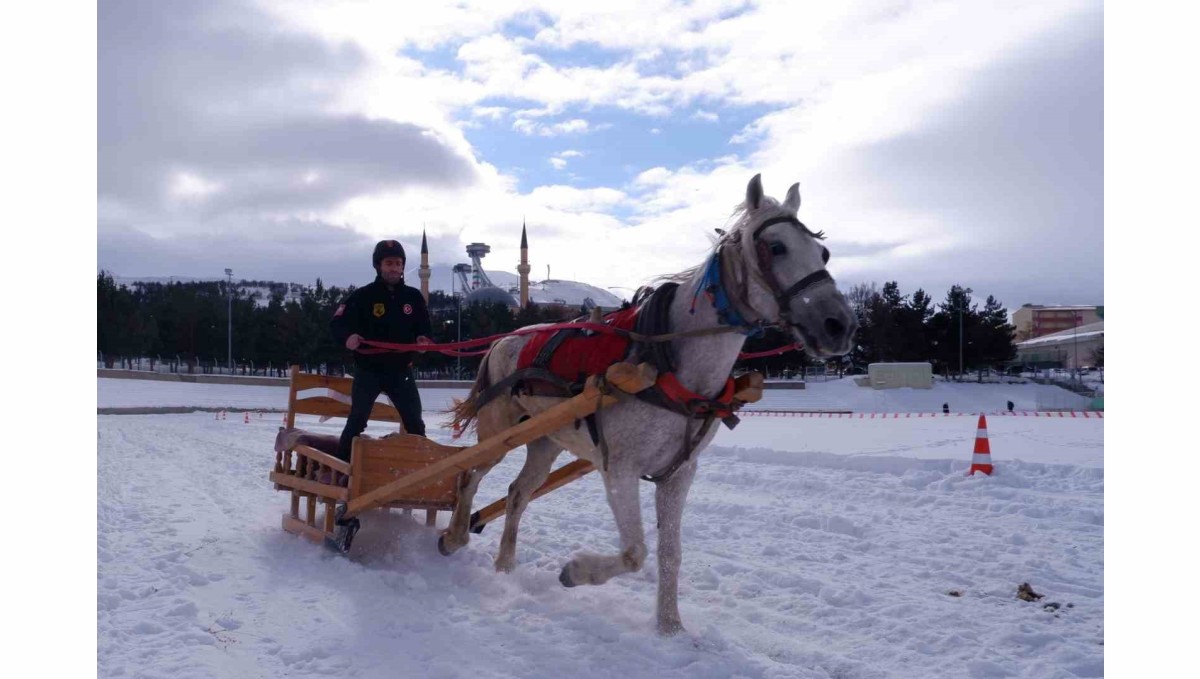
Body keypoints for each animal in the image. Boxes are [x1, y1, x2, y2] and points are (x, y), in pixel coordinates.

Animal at [448, 177, 854, 638]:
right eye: (776, 246)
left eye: (823, 253)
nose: (839, 325)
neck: (667, 361)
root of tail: (502, 339)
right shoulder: (619, 469)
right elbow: (634, 552)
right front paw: (576, 571)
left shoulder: (678, 473)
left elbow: (669, 554)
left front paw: (670, 627)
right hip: (498, 431)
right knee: (467, 476)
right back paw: (455, 536)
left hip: (546, 440)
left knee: (517, 495)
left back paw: (504, 565)